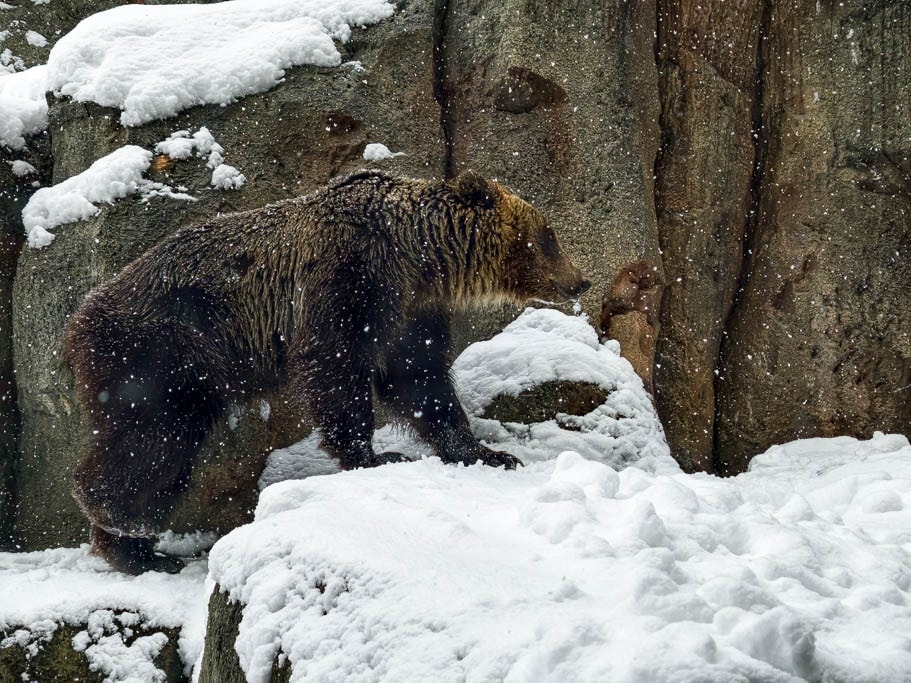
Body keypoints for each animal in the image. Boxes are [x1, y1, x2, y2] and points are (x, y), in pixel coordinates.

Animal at [63, 170, 590, 574]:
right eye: (548, 235)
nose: (580, 280)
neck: (414, 256)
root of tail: (80, 317)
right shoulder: (350, 277)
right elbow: (336, 364)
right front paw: (375, 455)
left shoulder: (410, 310)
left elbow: (420, 381)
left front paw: (488, 452)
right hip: (163, 351)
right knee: (154, 435)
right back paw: (118, 518)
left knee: (165, 455)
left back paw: (135, 548)